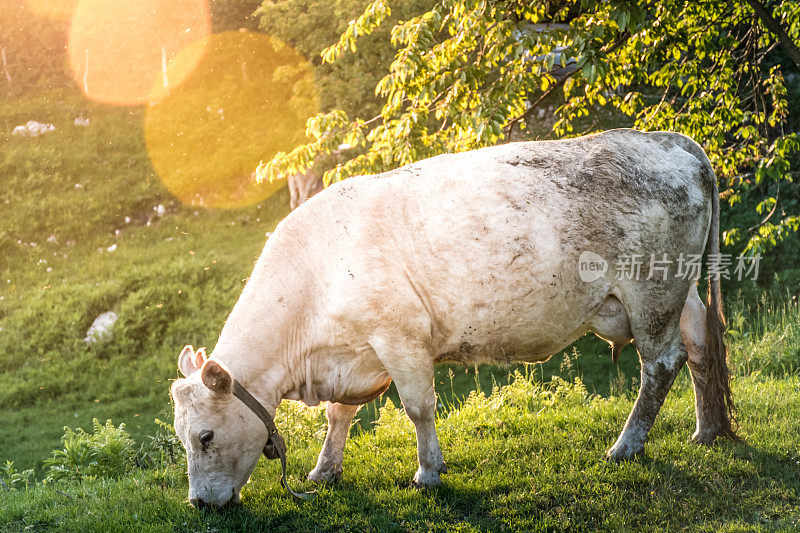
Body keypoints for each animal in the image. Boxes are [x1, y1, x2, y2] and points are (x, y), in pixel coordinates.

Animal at [173, 129, 736, 508]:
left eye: (206, 437)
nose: (197, 503)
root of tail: (669, 141)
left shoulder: (400, 339)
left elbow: (419, 408)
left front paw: (428, 473)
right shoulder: (352, 354)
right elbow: (339, 415)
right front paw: (323, 472)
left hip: (651, 292)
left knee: (660, 365)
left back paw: (626, 446)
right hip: (679, 290)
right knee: (700, 345)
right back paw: (707, 430)